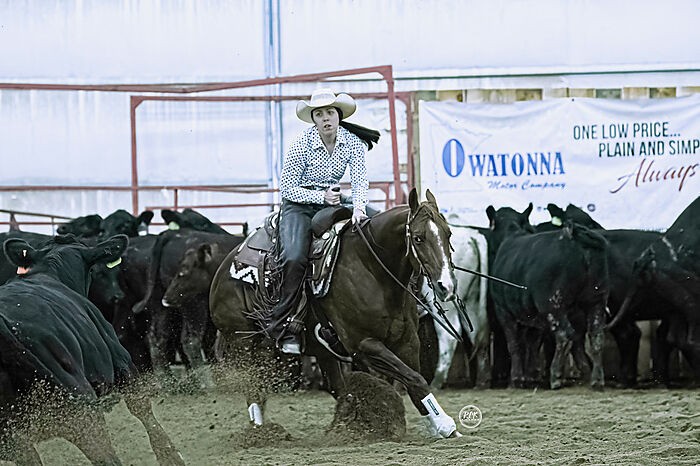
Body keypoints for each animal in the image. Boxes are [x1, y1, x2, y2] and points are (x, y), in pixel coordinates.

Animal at [210, 189, 463, 438]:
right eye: (418, 237)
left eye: (449, 233)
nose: (446, 286)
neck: (372, 270)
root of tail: (225, 266)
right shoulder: (363, 345)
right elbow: (414, 379)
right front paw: (444, 424)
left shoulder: (408, 340)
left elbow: (413, 381)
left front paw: (438, 425)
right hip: (243, 343)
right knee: (253, 389)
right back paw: (260, 435)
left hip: (310, 351)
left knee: (333, 388)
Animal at [487, 204, 610, 390]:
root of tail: (575, 236)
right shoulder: (534, 315)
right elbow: (533, 343)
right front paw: (531, 376)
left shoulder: (504, 311)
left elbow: (515, 344)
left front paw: (517, 379)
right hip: (596, 300)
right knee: (596, 336)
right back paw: (596, 379)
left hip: (553, 304)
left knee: (564, 335)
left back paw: (556, 376)